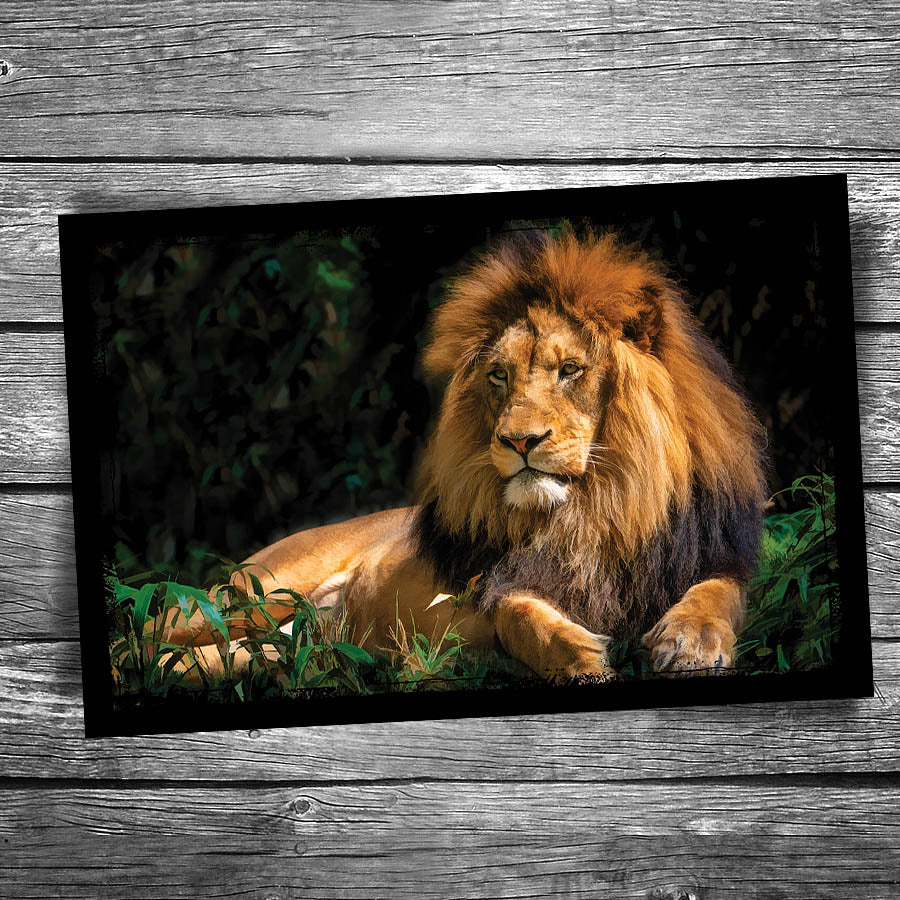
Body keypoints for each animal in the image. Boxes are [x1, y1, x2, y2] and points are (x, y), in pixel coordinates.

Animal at [168, 226, 767, 682]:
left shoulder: (715, 558)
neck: (597, 508)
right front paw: (581, 658)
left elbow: (718, 592)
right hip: (249, 595)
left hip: (263, 645)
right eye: (499, 376)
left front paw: (690, 644)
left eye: (570, 369)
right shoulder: (468, 608)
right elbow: (514, 608)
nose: (519, 441)